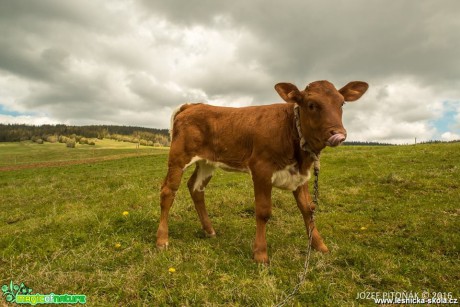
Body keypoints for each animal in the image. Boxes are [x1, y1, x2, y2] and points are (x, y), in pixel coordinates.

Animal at [156, 80, 368, 264]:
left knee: (196, 188)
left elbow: (308, 210)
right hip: (179, 157)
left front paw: (319, 246)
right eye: (311, 104)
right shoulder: (261, 169)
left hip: (207, 162)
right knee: (168, 192)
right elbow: (263, 212)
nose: (339, 134)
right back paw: (162, 239)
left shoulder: (301, 176)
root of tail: (192, 105)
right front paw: (260, 255)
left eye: (342, 103)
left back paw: (209, 231)